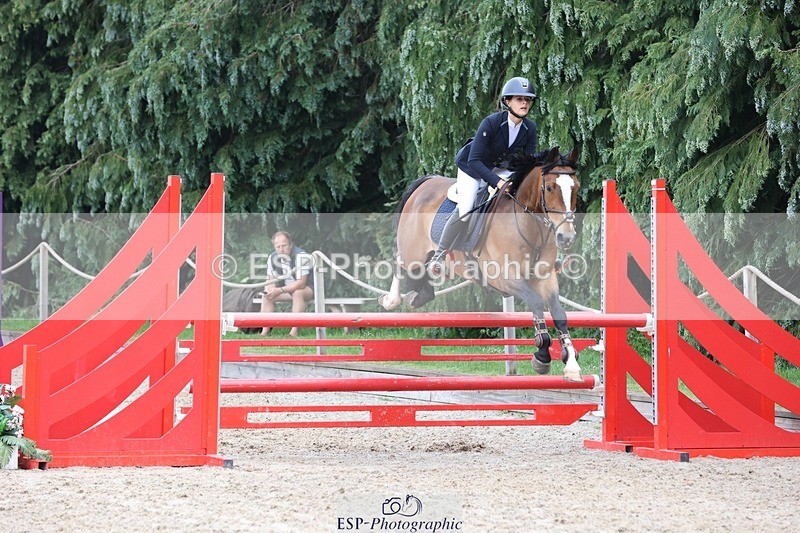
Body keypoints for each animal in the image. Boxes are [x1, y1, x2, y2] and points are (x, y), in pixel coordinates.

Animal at [379, 147, 583, 381]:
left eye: (576, 187)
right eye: (549, 188)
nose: (566, 237)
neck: (529, 225)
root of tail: (426, 182)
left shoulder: (546, 277)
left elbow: (559, 313)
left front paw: (571, 363)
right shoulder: (506, 279)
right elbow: (537, 302)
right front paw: (542, 355)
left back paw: (419, 296)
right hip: (413, 249)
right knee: (400, 262)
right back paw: (392, 300)